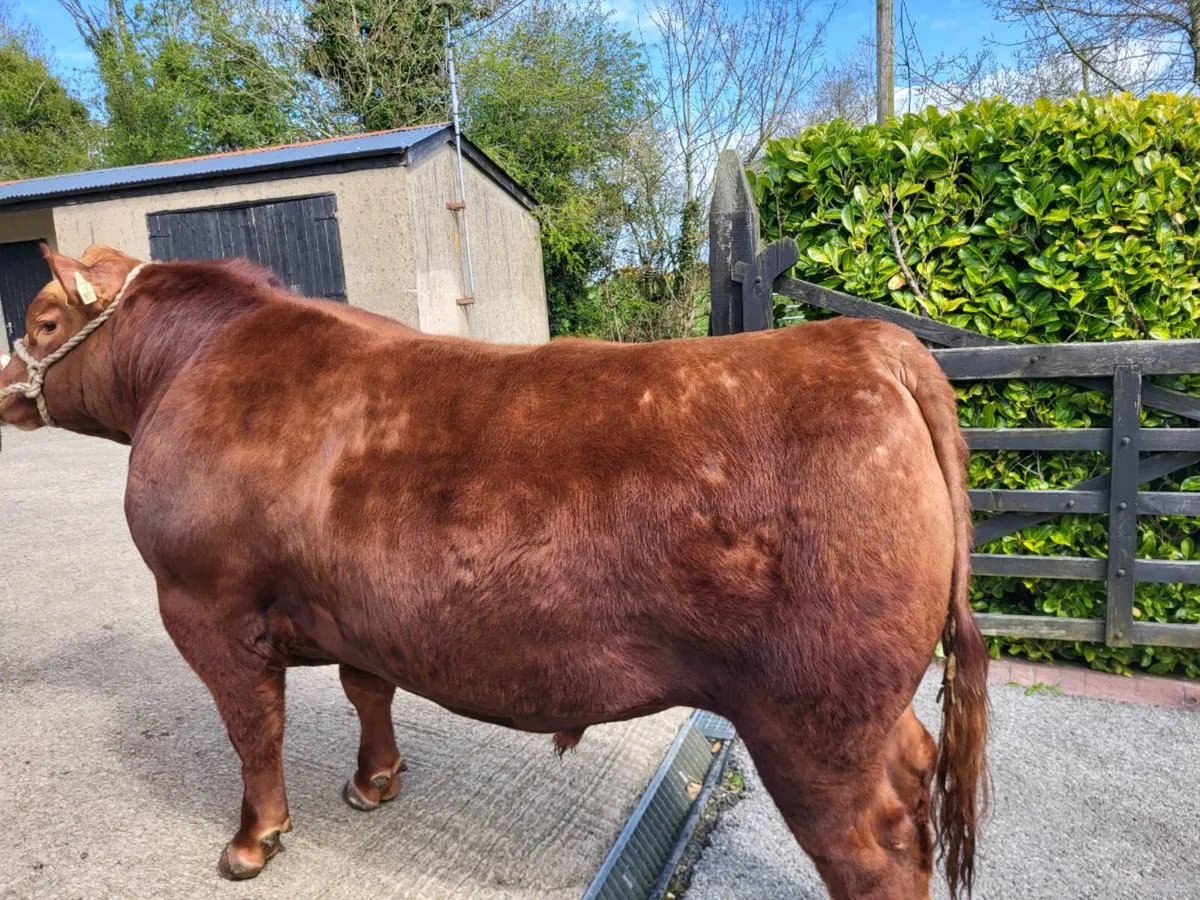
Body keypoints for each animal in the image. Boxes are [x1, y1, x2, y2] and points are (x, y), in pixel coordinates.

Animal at [0, 244, 989, 899]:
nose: (7, 387)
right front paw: (374, 781)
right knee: (916, 768)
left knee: (871, 843)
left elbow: (254, 729)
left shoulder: (203, 603)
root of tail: (872, 345)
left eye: (42, 321)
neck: (190, 368)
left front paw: (253, 841)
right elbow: (367, 688)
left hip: (812, 713)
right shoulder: (350, 606)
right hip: (864, 705)